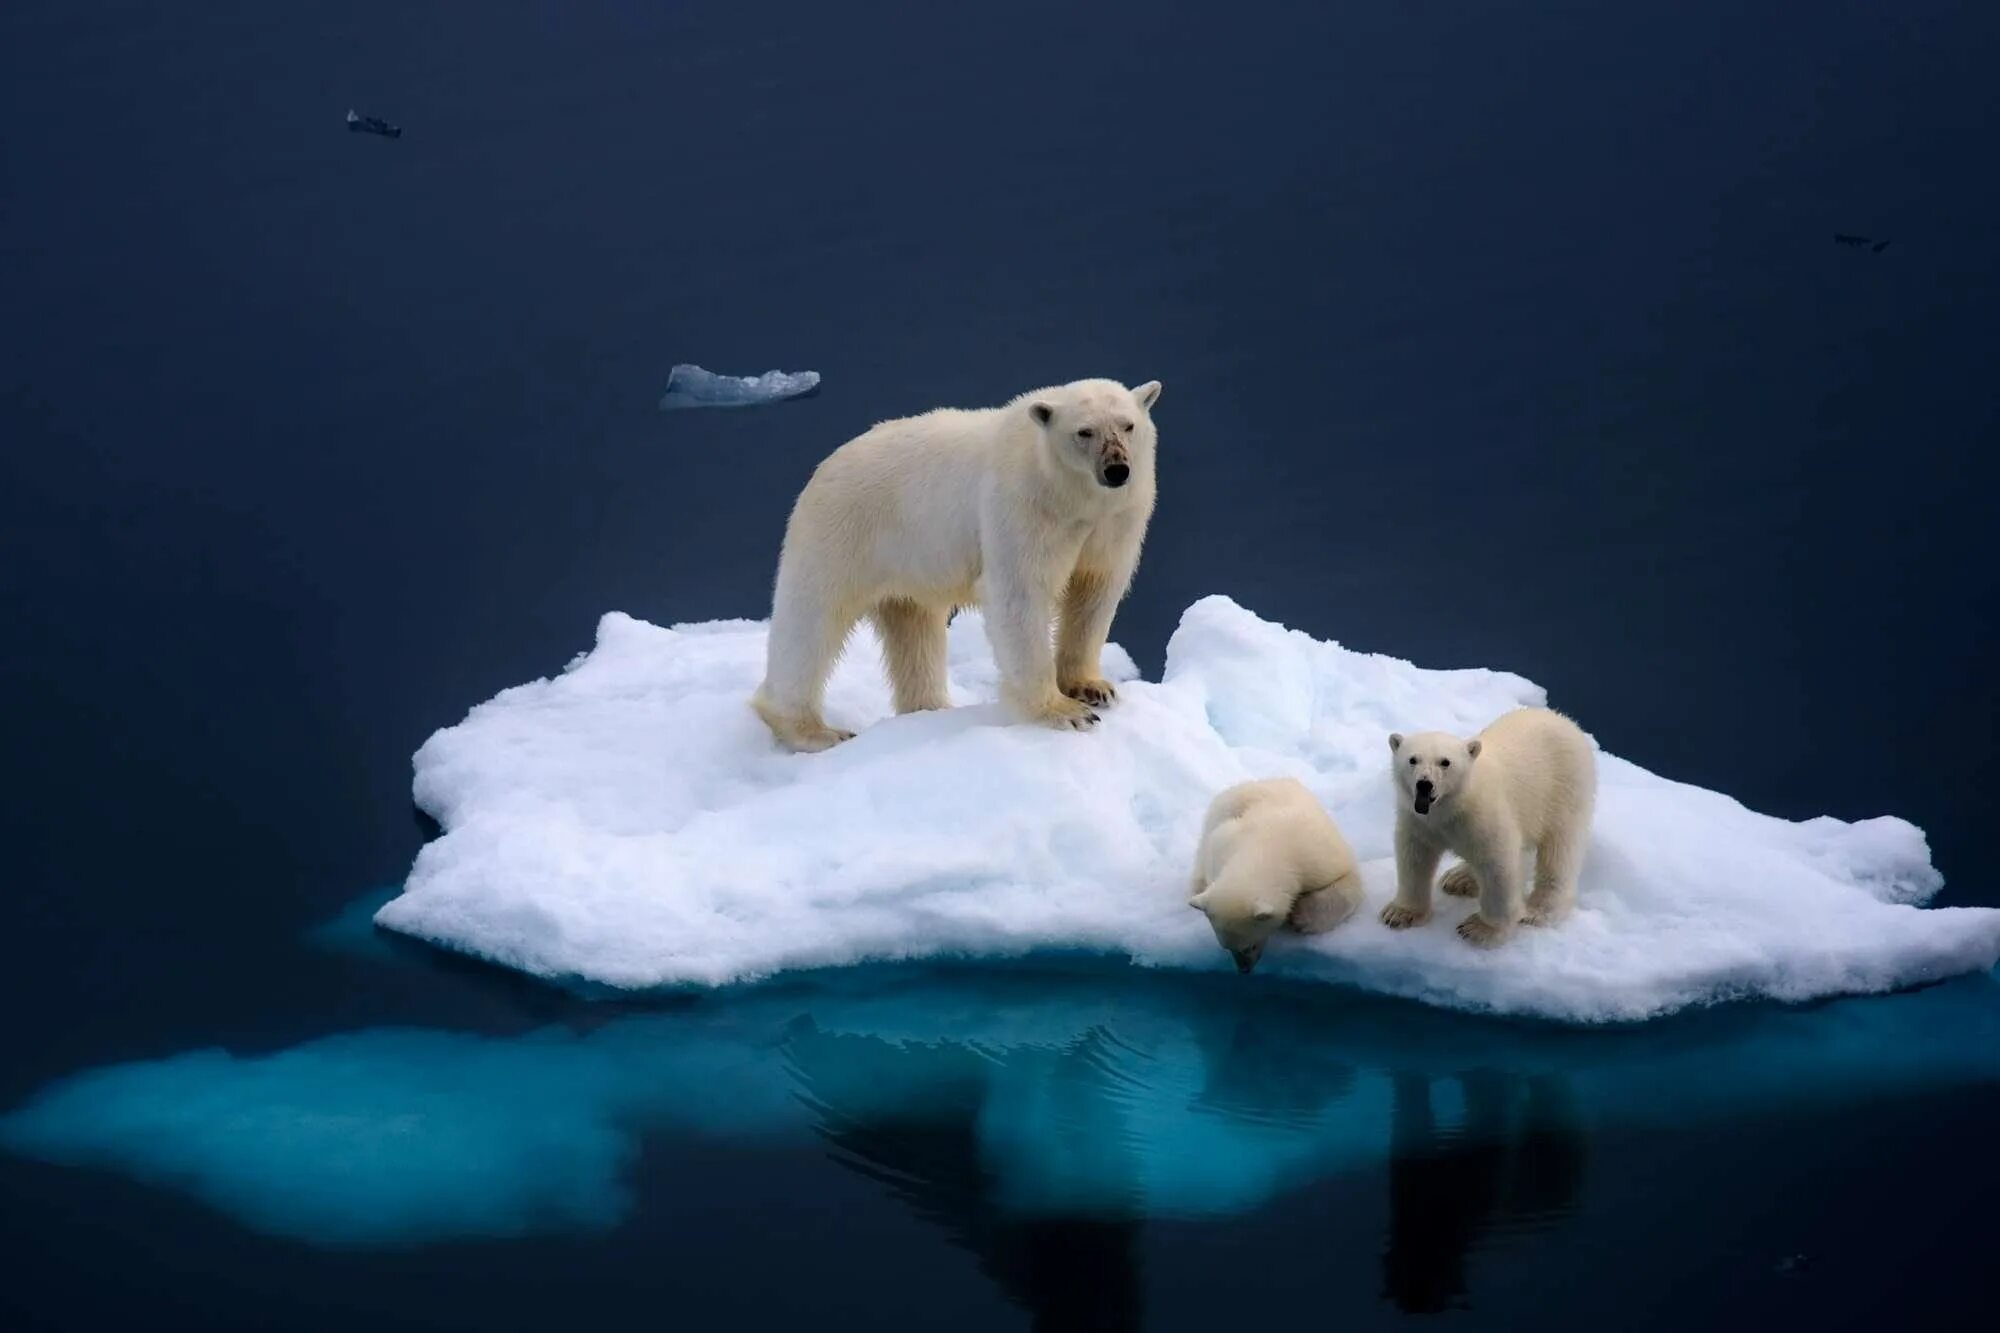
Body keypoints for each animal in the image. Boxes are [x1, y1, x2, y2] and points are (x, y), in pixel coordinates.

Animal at [752, 376, 1160, 748]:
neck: (1072, 497)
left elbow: (1095, 591)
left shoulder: (1117, 519)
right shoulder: (1023, 506)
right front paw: (1065, 712)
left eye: (1128, 425)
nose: (1117, 469)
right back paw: (814, 730)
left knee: (914, 632)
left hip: (907, 562)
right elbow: (1020, 594)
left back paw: (930, 708)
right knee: (812, 620)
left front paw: (1093, 688)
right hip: (842, 533)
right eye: (1084, 432)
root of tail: (824, 466)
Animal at [1184, 772, 1360, 972]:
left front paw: (1302, 917)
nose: (1244, 969)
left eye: (1249, 946)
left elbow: (1347, 881)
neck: (1264, 846)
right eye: (1227, 947)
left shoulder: (1318, 856)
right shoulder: (1220, 846)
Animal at [1384, 704, 1600, 944]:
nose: (1424, 784)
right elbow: (1414, 859)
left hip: (1564, 791)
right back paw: (1459, 879)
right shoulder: (1420, 822)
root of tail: (1565, 720)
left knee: (1560, 851)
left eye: (1445, 762)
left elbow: (1498, 865)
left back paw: (1538, 910)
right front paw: (1400, 913)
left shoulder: (1484, 815)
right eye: (1412, 759)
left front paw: (1480, 928)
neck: (1452, 805)